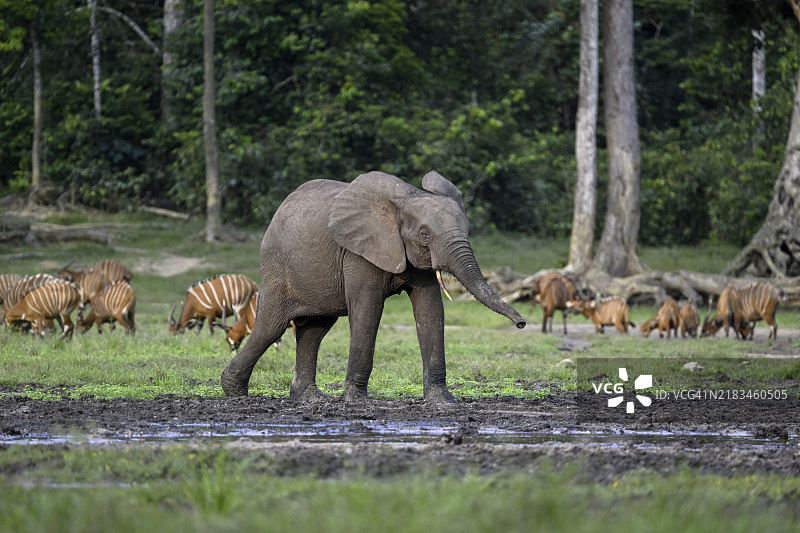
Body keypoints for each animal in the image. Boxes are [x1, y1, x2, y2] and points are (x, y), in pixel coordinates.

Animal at [220, 171, 526, 404]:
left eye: (468, 230)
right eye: (424, 234)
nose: (522, 323)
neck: (407, 198)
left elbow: (430, 311)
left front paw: (444, 401)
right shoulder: (358, 251)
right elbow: (367, 310)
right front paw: (357, 401)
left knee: (314, 330)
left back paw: (310, 398)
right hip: (278, 268)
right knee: (272, 326)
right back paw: (234, 393)